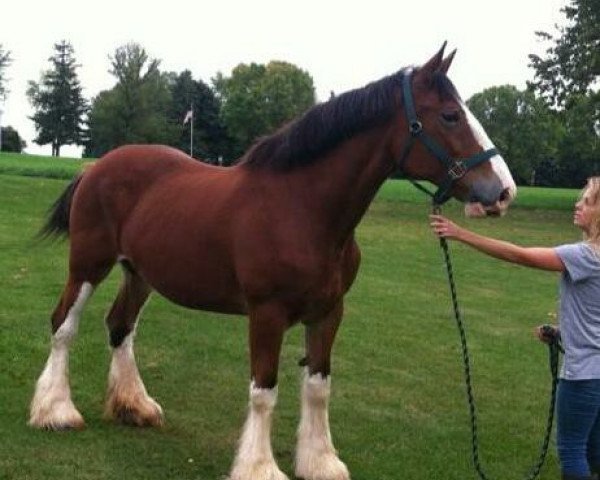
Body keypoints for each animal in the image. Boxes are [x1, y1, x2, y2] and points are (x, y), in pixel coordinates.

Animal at [29, 42, 516, 480]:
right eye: (450, 115)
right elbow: (264, 390)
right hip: (88, 265)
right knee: (63, 323)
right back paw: (56, 411)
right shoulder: (267, 314)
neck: (301, 208)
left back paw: (134, 406)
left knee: (120, 326)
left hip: (140, 273)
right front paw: (259, 467)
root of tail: (95, 168)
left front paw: (320, 462)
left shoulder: (329, 312)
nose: (503, 191)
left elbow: (318, 386)